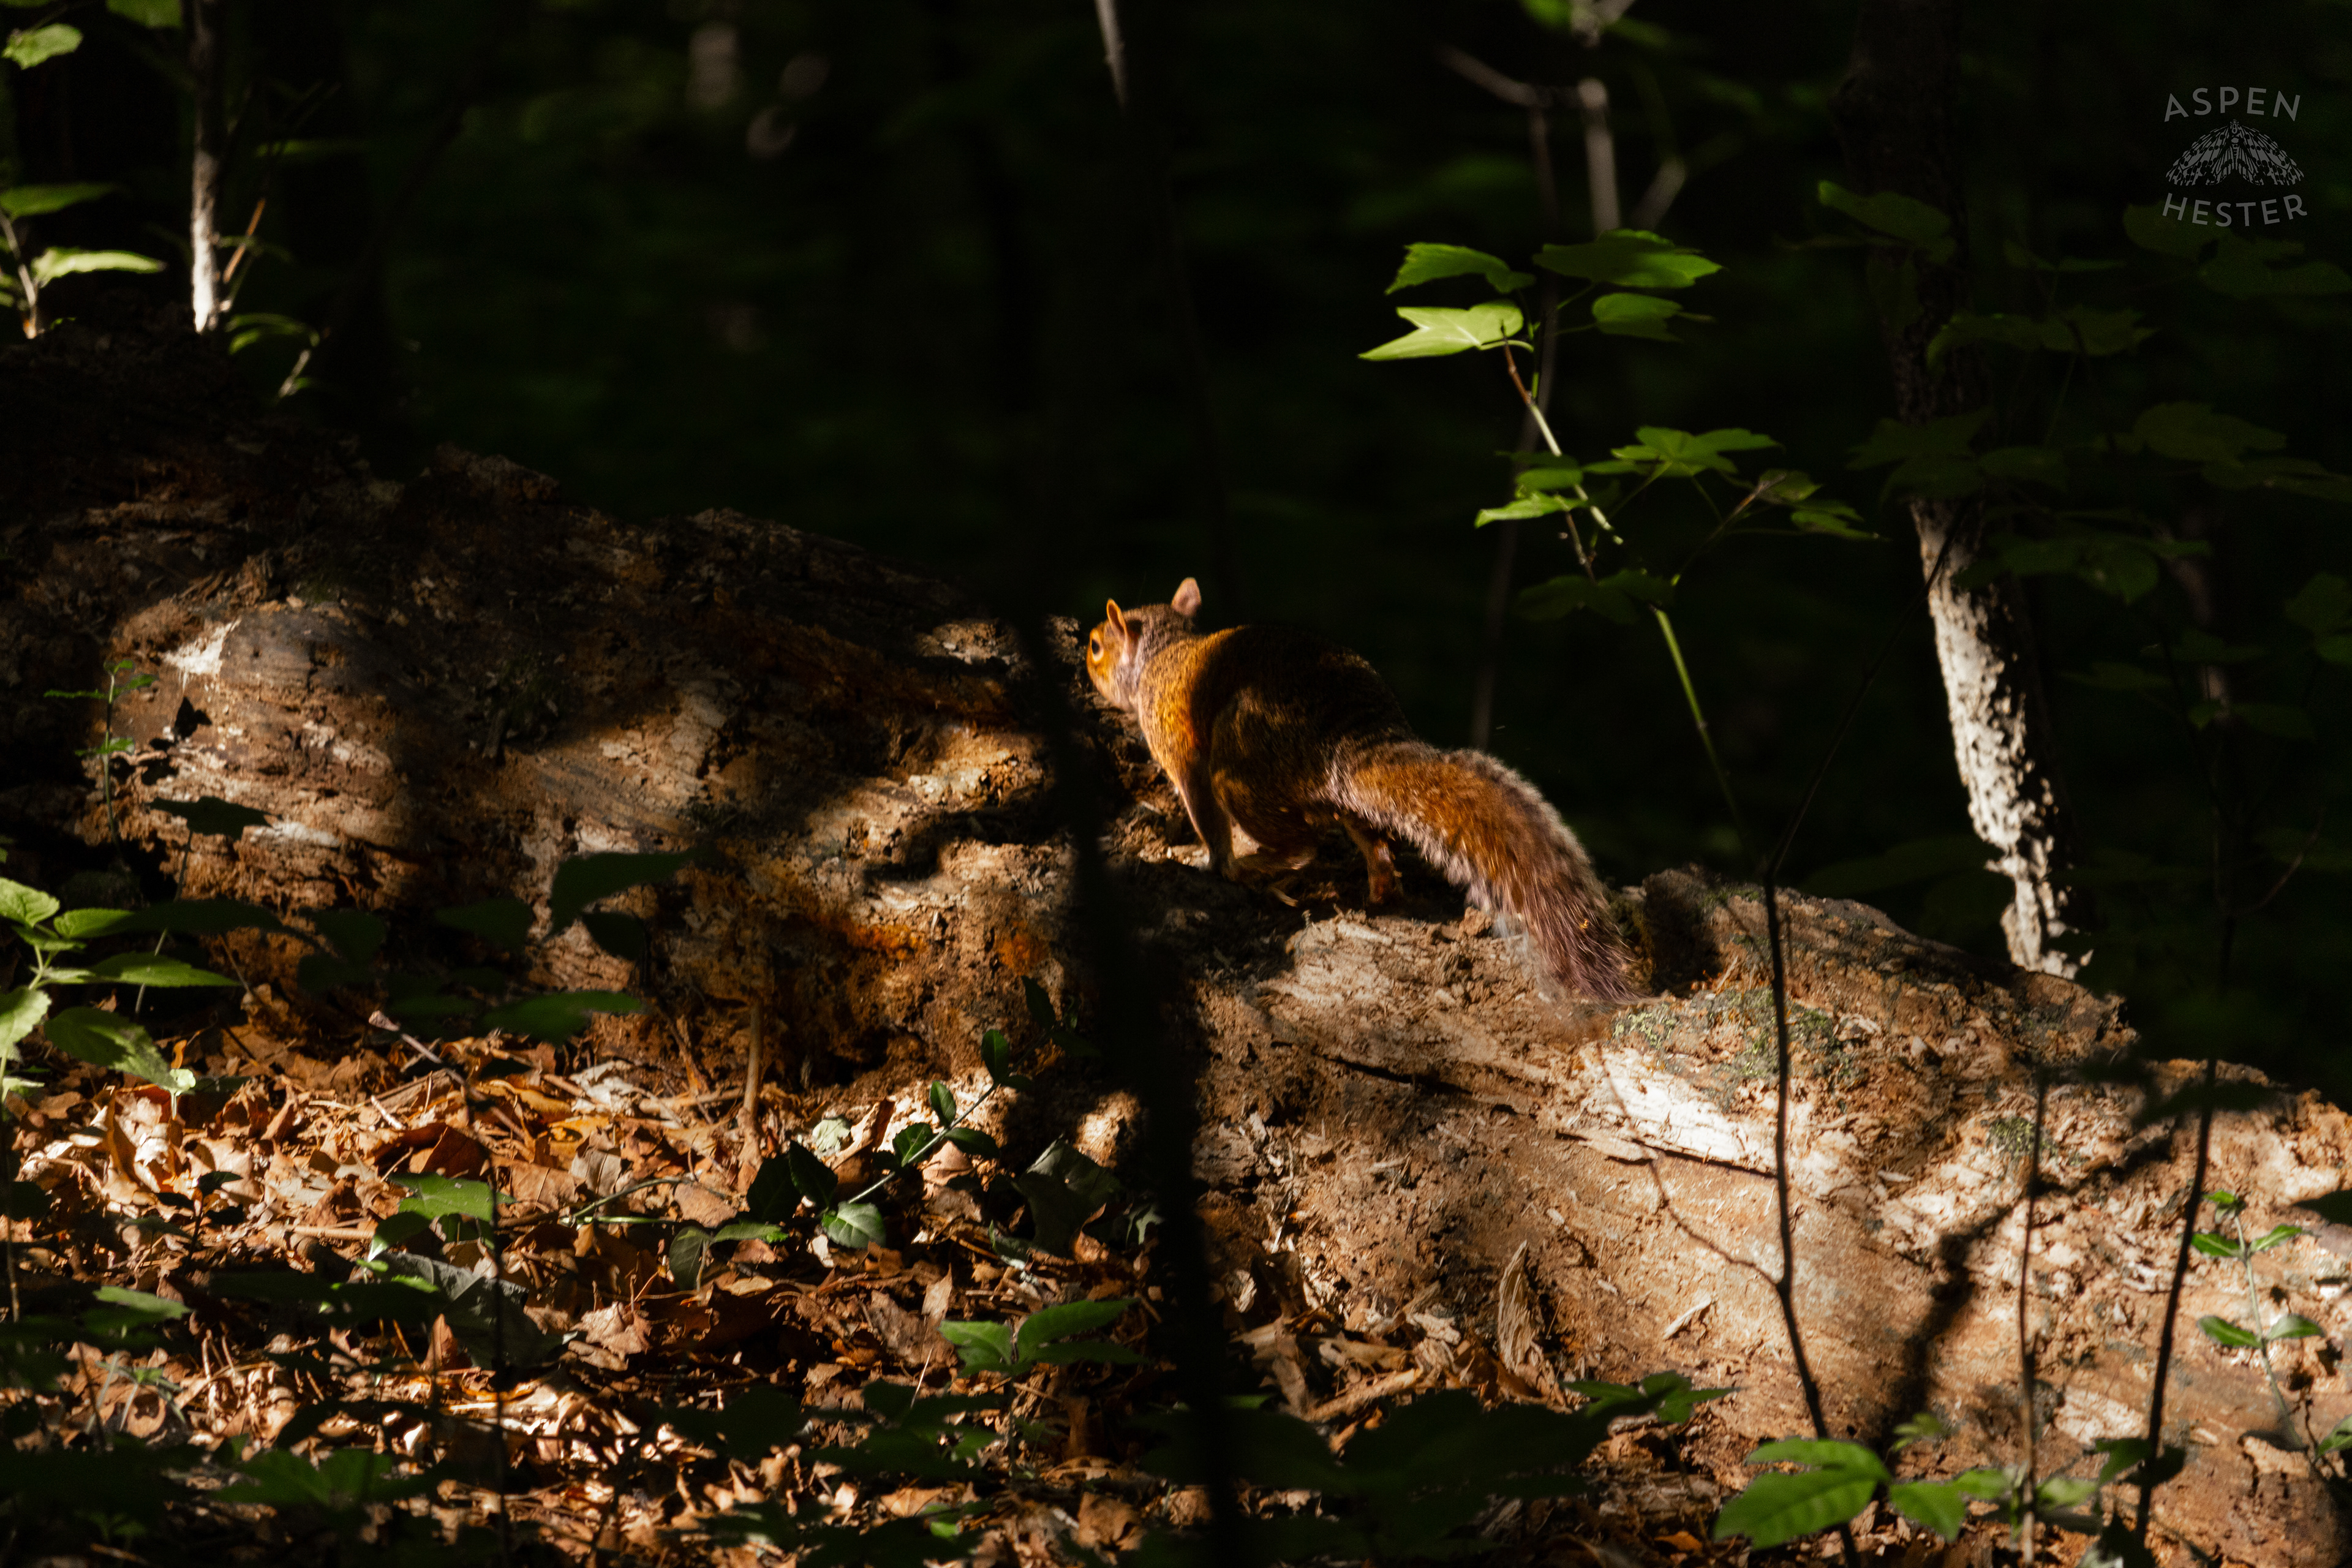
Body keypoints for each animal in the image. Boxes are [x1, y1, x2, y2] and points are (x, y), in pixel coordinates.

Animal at [1084, 577, 1642, 1003]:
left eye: (1095, 646)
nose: (1085, 663)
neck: (1163, 652)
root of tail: (1349, 742)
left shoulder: (1181, 755)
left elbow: (1205, 817)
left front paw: (1208, 861)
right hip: (1345, 803)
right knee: (1376, 850)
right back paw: (1376, 892)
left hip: (1240, 763)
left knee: (1302, 844)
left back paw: (1256, 866)